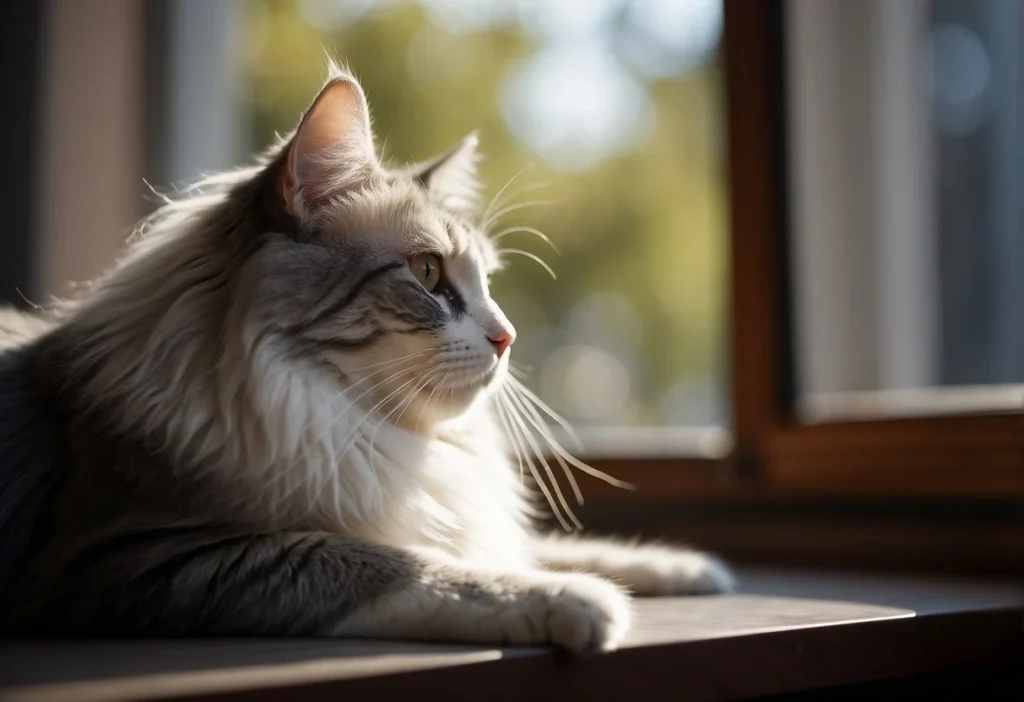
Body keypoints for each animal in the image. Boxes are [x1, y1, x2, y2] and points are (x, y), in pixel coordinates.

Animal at [0, 64, 737, 654]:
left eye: (489, 283)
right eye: (428, 273)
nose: (507, 337)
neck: (358, 429)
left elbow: (537, 545)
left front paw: (686, 569)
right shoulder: (148, 549)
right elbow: (404, 565)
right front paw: (576, 599)